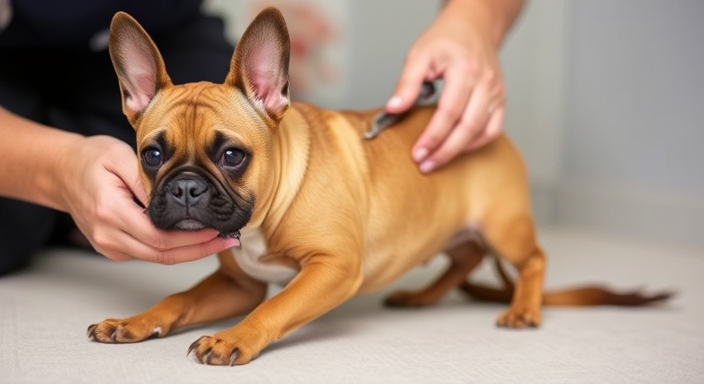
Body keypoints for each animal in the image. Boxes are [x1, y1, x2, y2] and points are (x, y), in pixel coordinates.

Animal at [88, 7, 672, 364]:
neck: (269, 210)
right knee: (463, 258)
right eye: (151, 154)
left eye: (232, 156)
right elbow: (179, 298)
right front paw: (137, 321)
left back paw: (524, 308)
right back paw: (422, 296)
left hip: (505, 228)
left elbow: (273, 308)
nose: (185, 188)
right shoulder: (239, 284)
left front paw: (234, 337)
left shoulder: (332, 269)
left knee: (533, 260)